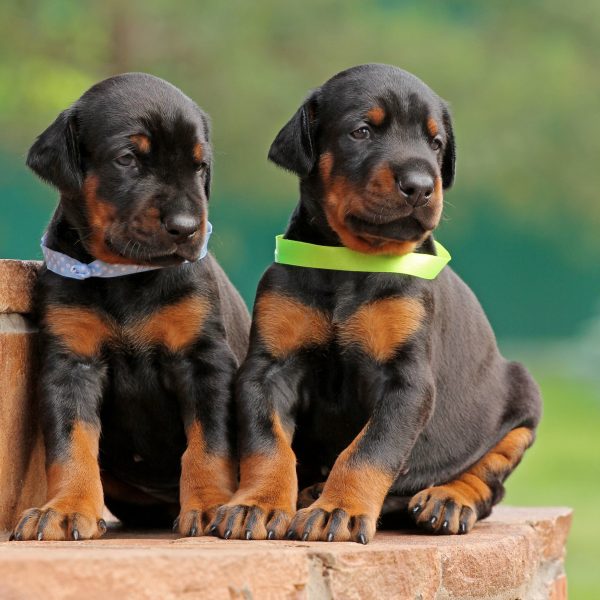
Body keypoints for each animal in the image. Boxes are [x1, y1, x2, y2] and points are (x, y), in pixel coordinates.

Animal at [11, 72, 251, 540]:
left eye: (199, 166)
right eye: (127, 159)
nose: (186, 228)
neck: (125, 275)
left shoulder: (204, 361)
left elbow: (210, 443)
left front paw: (210, 505)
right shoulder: (71, 365)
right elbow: (70, 443)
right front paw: (66, 509)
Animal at [212, 64, 544, 544]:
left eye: (436, 142)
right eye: (362, 131)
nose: (421, 186)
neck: (351, 262)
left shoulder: (406, 380)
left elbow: (370, 450)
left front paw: (340, 510)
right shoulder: (268, 368)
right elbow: (266, 442)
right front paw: (258, 503)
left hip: (521, 400)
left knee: (488, 480)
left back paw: (448, 498)